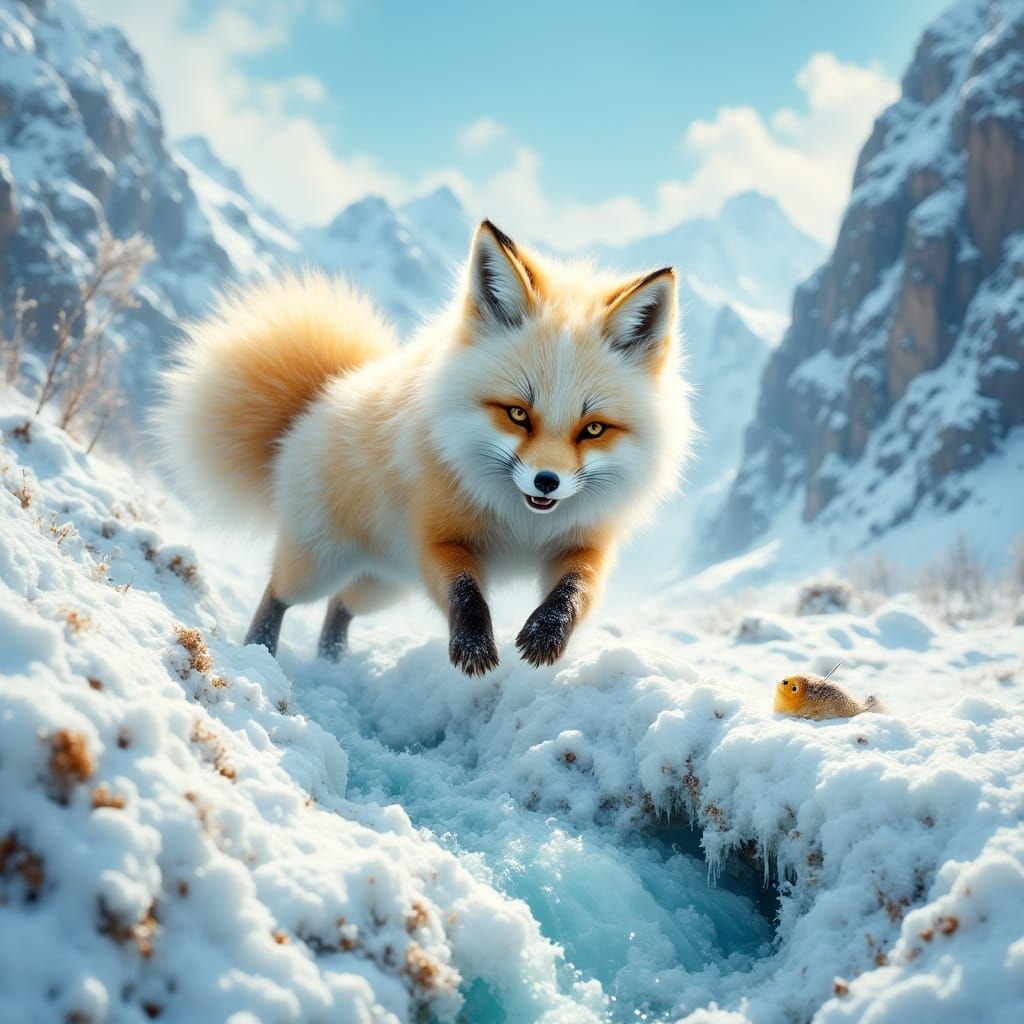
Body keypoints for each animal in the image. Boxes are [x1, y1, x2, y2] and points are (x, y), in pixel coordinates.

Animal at [158, 221, 692, 675]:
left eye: (593, 429)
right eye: (518, 413)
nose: (547, 482)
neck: (523, 526)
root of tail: (321, 395)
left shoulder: (586, 546)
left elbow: (573, 592)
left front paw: (546, 635)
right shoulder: (436, 538)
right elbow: (464, 593)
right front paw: (474, 647)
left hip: (384, 583)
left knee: (340, 607)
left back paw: (333, 660)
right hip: (321, 562)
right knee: (279, 594)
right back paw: (261, 648)